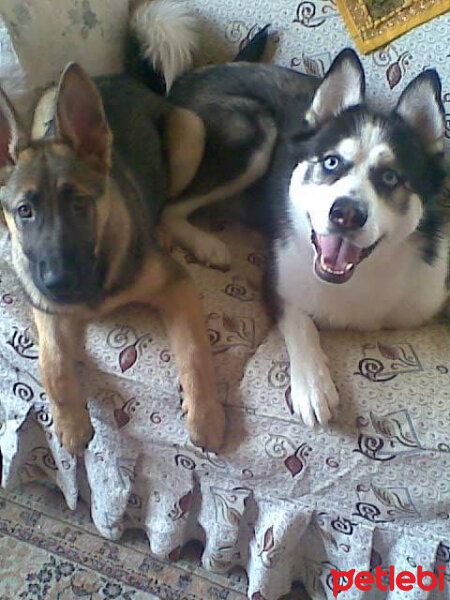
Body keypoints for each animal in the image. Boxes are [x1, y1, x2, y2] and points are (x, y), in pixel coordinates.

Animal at [0, 0, 225, 454]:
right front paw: (70, 421)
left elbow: (195, 354)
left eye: (79, 203)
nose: (60, 284)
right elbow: (52, 362)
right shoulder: (45, 310)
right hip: (46, 108)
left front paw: (205, 417)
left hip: (190, 132)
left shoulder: (177, 286)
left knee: (169, 205)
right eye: (24, 211)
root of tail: (120, 77)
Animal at [161, 50, 446, 426]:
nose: (346, 214)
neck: (362, 277)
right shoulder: (278, 277)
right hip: (253, 129)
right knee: (170, 207)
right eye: (331, 162)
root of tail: (186, 79)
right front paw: (313, 387)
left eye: (390, 177)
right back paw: (207, 244)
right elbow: (300, 324)